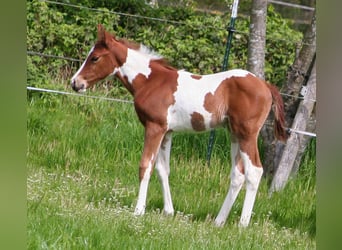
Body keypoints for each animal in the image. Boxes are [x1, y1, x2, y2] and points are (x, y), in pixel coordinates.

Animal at [71, 24, 288, 227]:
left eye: (95, 58)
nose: (75, 82)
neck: (151, 81)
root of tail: (266, 86)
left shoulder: (154, 127)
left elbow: (145, 166)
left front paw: (138, 210)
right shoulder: (167, 132)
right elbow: (162, 169)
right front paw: (168, 211)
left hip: (247, 134)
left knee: (254, 171)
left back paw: (242, 224)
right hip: (234, 134)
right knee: (237, 175)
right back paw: (218, 222)